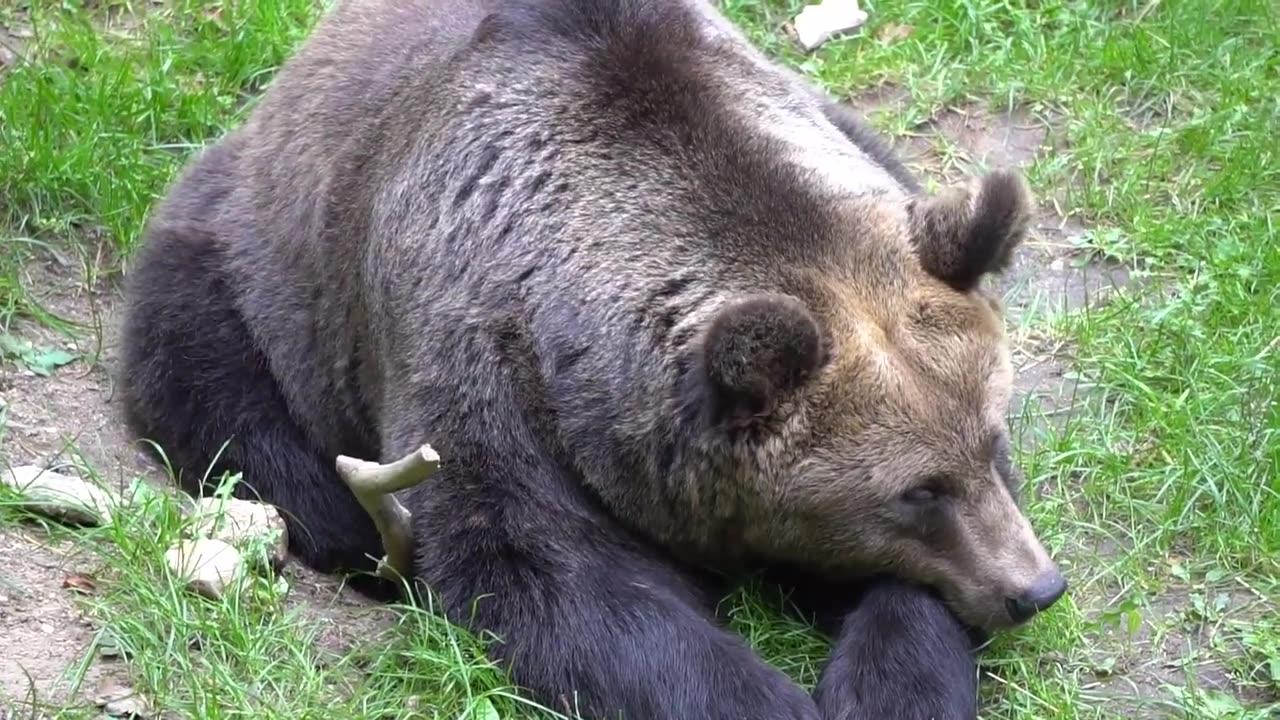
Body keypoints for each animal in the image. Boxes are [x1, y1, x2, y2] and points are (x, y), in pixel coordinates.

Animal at [117, 1, 1059, 717]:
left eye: (991, 441)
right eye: (917, 491)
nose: (1035, 588)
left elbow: (907, 597)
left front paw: (889, 685)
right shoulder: (480, 363)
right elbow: (552, 575)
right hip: (268, 256)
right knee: (213, 379)